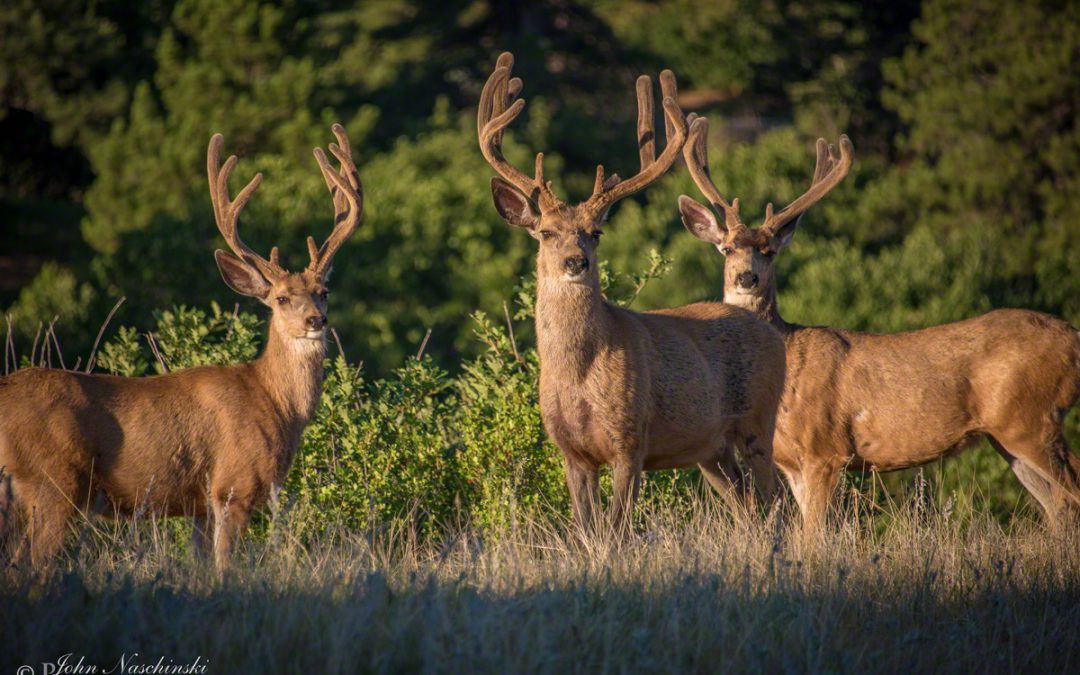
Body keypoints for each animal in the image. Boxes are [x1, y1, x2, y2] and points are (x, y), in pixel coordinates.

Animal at [0, 123, 362, 565]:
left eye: (323, 291)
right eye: (280, 298)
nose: (315, 320)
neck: (275, 404)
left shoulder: (199, 506)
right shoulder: (232, 486)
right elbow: (226, 568)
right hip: (52, 484)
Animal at [479, 52, 786, 529]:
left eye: (596, 232)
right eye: (546, 232)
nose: (576, 262)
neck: (577, 376)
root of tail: (772, 333)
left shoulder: (630, 440)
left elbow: (616, 530)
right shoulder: (572, 452)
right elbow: (585, 530)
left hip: (759, 421)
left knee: (776, 503)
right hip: (713, 449)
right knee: (748, 507)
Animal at [678, 117, 1080, 531]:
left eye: (769, 251)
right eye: (727, 248)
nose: (746, 277)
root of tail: (1074, 337)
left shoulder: (825, 450)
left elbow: (813, 537)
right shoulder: (793, 464)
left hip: (1033, 418)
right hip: (1008, 436)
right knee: (1059, 506)